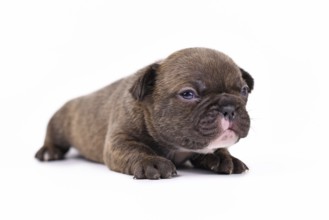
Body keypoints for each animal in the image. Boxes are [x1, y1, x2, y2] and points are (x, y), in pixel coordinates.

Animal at [34, 47, 252, 179]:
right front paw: (151, 161)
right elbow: (136, 149)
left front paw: (224, 157)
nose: (229, 108)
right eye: (188, 94)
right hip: (60, 122)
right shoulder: (119, 140)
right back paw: (48, 151)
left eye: (244, 91)